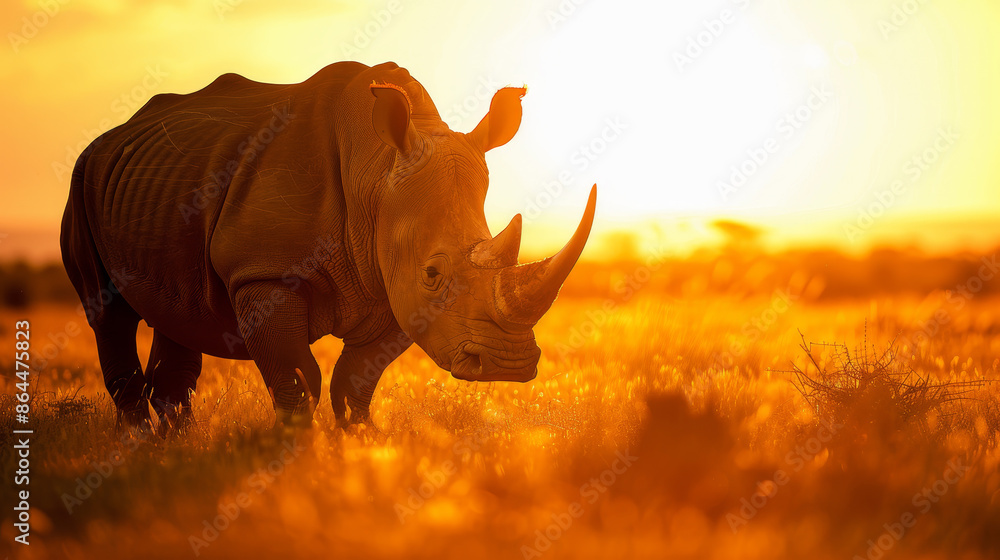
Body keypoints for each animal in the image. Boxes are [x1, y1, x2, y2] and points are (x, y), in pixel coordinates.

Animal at [60, 61, 597, 431]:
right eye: (433, 273)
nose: (508, 365)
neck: (377, 174)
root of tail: (110, 136)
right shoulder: (263, 274)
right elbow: (297, 382)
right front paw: (293, 455)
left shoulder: (393, 287)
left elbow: (354, 382)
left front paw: (360, 443)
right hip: (83, 178)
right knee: (108, 313)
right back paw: (139, 444)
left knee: (178, 314)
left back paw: (178, 448)